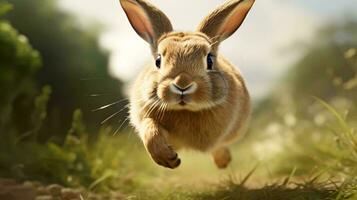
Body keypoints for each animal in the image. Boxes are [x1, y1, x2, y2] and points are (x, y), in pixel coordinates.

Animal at [119, 0, 253, 169]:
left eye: (209, 60)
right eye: (158, 61)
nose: (182, 84)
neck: (186, 110)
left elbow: (217, 144)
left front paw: (223, 160)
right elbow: (150, 130)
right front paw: (168, 159)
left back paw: (223, 162)